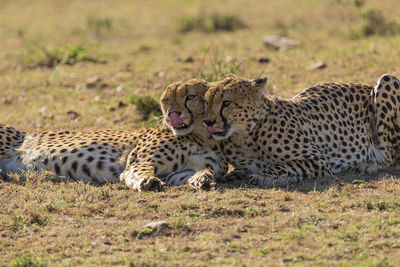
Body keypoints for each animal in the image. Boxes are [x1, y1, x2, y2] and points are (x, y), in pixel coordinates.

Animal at [0, 79, 228, 191]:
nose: (173, 114)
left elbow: (195, 172)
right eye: (166, 101)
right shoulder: (139, 162)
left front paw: (203, 179)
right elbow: (138, 171)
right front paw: (147, 181)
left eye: (190, 97)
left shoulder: (177, 172)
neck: (202, 137)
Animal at [203, 74, 400, 187]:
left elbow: (283, 165)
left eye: (226, 103)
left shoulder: (319, 161)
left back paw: (369, 164)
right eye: (207, 102)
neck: (244, 135)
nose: (207, 121)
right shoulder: (243, 164)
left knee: (390, 157)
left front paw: (264, 176)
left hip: (387, 80)